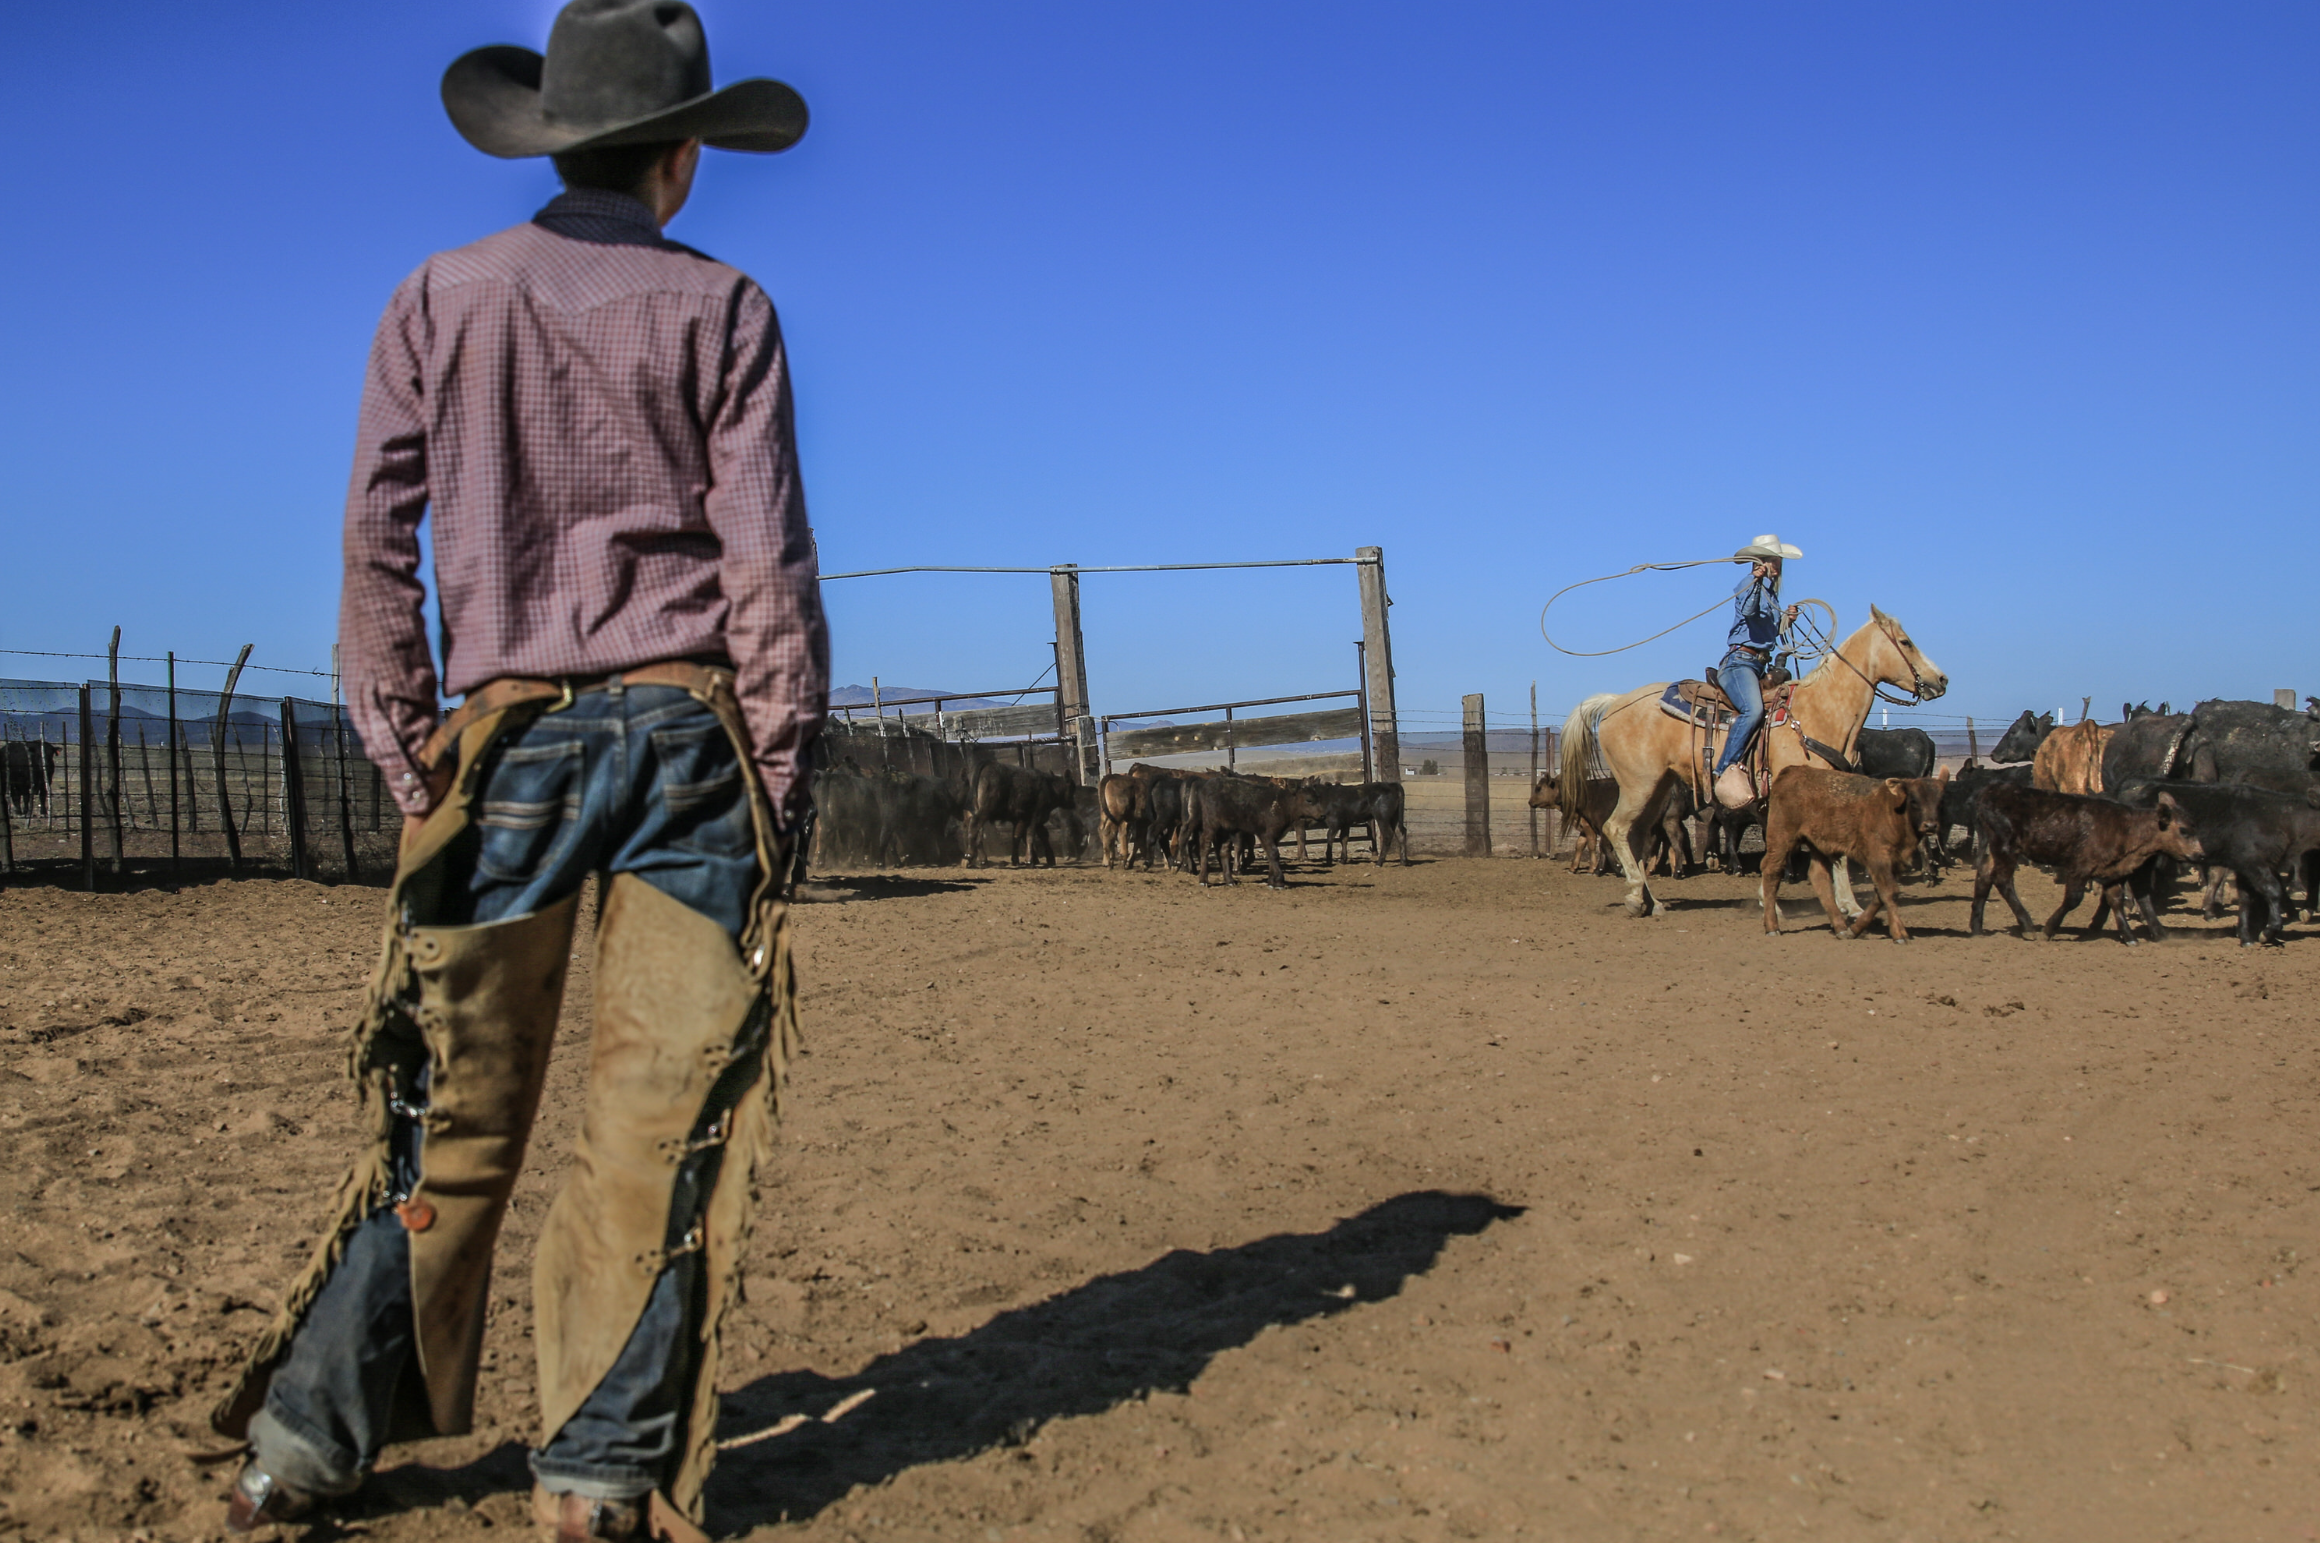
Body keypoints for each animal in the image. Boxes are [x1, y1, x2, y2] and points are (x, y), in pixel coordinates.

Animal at [1558, 606, 1948, 918]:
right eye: (1906, 642)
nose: (1941, 679)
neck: (1819, 712)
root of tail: (1615, 701)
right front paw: (1776, 902)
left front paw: (1848, 906)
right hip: (1639, 785)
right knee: (1616, 829)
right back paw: (1635, 899)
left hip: (1658, 787)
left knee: (1637, 836)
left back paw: (1650, 902)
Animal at [1761, 767, 1947, 943]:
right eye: (1914, 800)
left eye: (1940, 802)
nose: (1930, 825)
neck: (1893, 810)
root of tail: (1791, 770)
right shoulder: (1878, 859)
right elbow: (1890, 892)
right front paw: (1899, 933)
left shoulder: (1895, 862)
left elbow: (1880, 895)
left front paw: (1855, 930)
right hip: (1781, 838)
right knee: (1772, 872)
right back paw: (1772, 926)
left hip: (1819, 845)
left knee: (1818, 876)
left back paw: (1840, 927)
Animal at [1970, 783, 2202, 944]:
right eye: (2183, 830)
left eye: (2194, 826)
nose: (2200, 855)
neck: (2128, 828)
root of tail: (1992, 790)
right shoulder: (2079, 867)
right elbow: (2073, 899)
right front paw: (2049, 929)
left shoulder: (2113, 871)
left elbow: (2115, 900)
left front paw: (2128, 936)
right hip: (2005, 847)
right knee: (2002, 880)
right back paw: (2027, 926)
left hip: (1994, 848)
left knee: (1984, 875)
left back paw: (1976, 928)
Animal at [2099, 779, 2320, 947]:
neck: (2279, 817)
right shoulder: (2253, 863)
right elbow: (2273, 890)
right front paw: (2268, 932)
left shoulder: (2245, 866)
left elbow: (2246, 899)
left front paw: (2246, 936)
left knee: (2141, 887)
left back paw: (2157, 931)